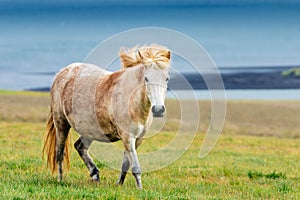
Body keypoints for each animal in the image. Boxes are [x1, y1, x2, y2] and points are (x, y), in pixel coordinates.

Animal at [42, 43, 171, 188]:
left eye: (166, 78)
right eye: (146, 78)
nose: (158, 109)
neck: (131, 101)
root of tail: (62, 72)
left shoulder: (137, 139)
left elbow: (126, 164)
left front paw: (119, 184)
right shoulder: (128, 137)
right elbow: (135, 167)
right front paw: (140, 189)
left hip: (89, 130)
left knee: (80, 147)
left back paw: (95, 175)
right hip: (61, 124)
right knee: (59, 153)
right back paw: (60, 180)